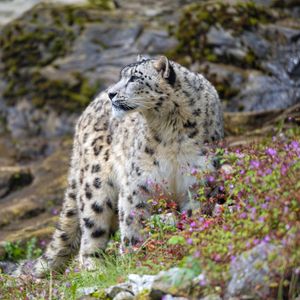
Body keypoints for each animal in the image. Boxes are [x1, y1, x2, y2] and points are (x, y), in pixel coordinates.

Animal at [0, 55, 223, 276]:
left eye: (134, 78)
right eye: (122, 76)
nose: (111, 93)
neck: (172, 133)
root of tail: (84, 114)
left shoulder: (196, 181)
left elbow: (194, 215)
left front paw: (191, 241)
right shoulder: (137, 183)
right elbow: (133, 222)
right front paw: (134, 258)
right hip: (95, 186)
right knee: (91, 229)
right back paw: (94, 268)